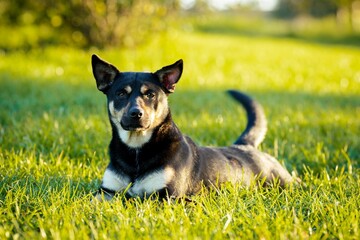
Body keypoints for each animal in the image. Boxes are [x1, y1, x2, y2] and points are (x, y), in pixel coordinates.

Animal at [90, 54, 296, 201]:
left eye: (150, 94)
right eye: (121, 93)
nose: (136, 113)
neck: (136, 150)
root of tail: (245, 146)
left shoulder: (168, 196)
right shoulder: (106, 192)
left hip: (281, 180)